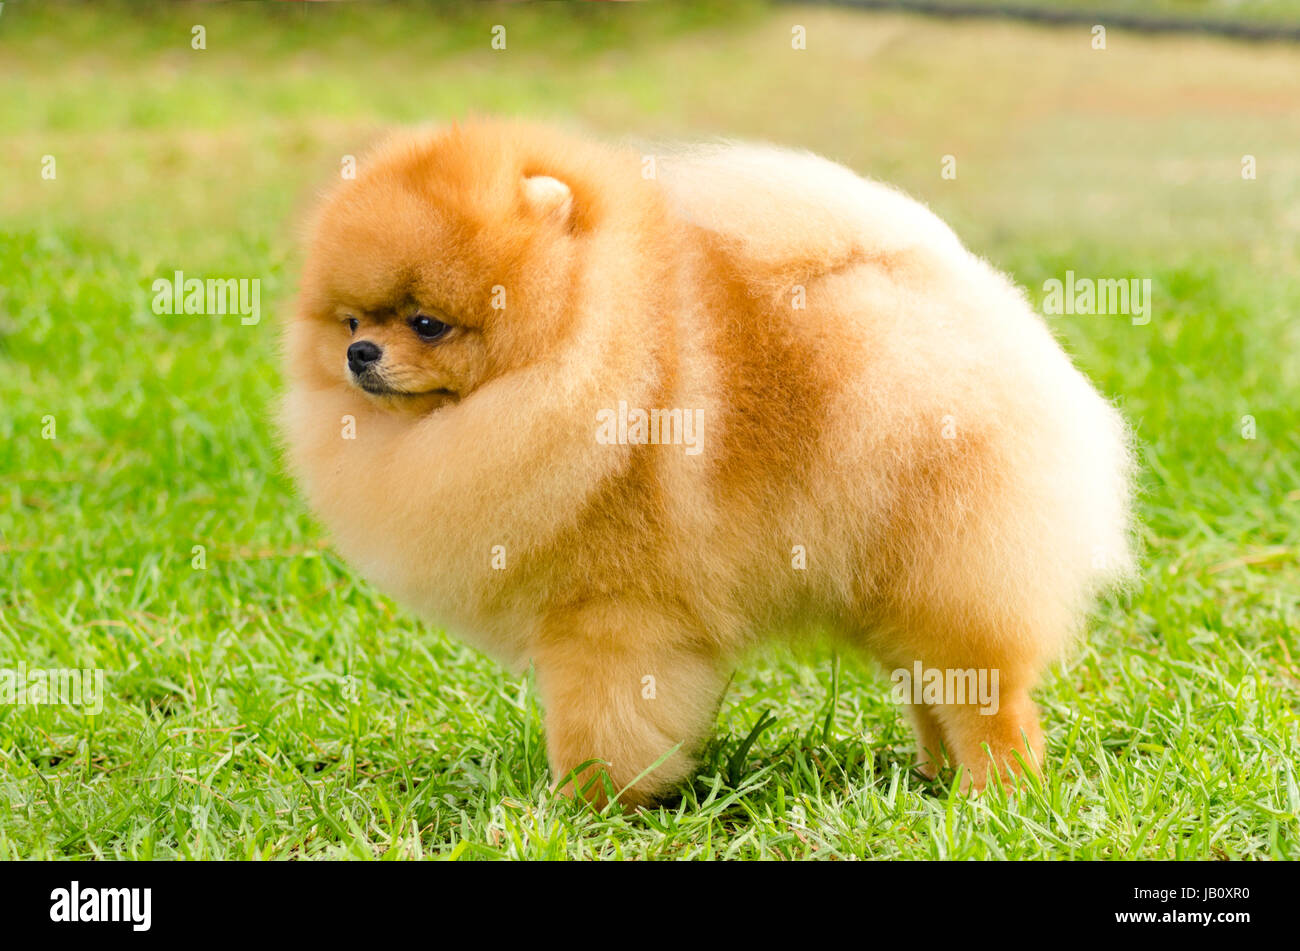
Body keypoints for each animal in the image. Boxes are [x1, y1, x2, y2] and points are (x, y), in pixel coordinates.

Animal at [282, 116, 1128, 800]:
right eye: (351, 320)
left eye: (426, 323)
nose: (360, 354)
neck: (590, 354)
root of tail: (975, 300)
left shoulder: (610, 619)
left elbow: (599, 723)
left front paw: (579, 804)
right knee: (928, 683)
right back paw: (937, 777)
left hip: (950, 564)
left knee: (987, 694)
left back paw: (1000, 790)